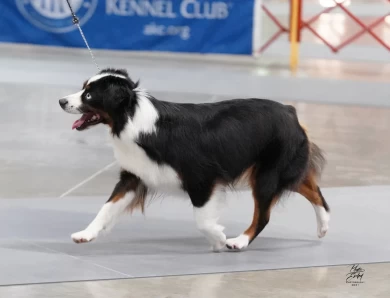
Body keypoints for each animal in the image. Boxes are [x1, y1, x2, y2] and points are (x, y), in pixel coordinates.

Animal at [58, 68, 330, 251]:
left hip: (267, 174)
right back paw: (324, 225)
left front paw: (219, 239)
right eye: (83, 88)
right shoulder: (134, 176)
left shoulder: (202, 178)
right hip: (283, 168)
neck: (131, 116)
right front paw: (86, 234)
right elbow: (107, 207)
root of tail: (290, 111)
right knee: (314, 190)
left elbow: (202, 220)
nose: (61, 101)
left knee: (264, 214)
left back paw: (240, 241)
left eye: (89, 96)